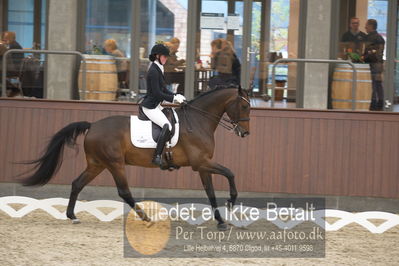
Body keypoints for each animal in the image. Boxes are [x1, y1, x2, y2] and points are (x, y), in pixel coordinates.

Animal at [21, 86, 250, 230]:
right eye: (245, 106)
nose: (245, 133)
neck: (198, 120)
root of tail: (92, 126)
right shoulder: (201, 162)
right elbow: (230, 173)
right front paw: (231, 201)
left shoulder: (203, 165)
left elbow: (210, 192)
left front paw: (221, 221)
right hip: (115, 164)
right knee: (124, 192)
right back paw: (146, 218)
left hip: (97, 164)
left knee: (77, 183)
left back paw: (72, 216)